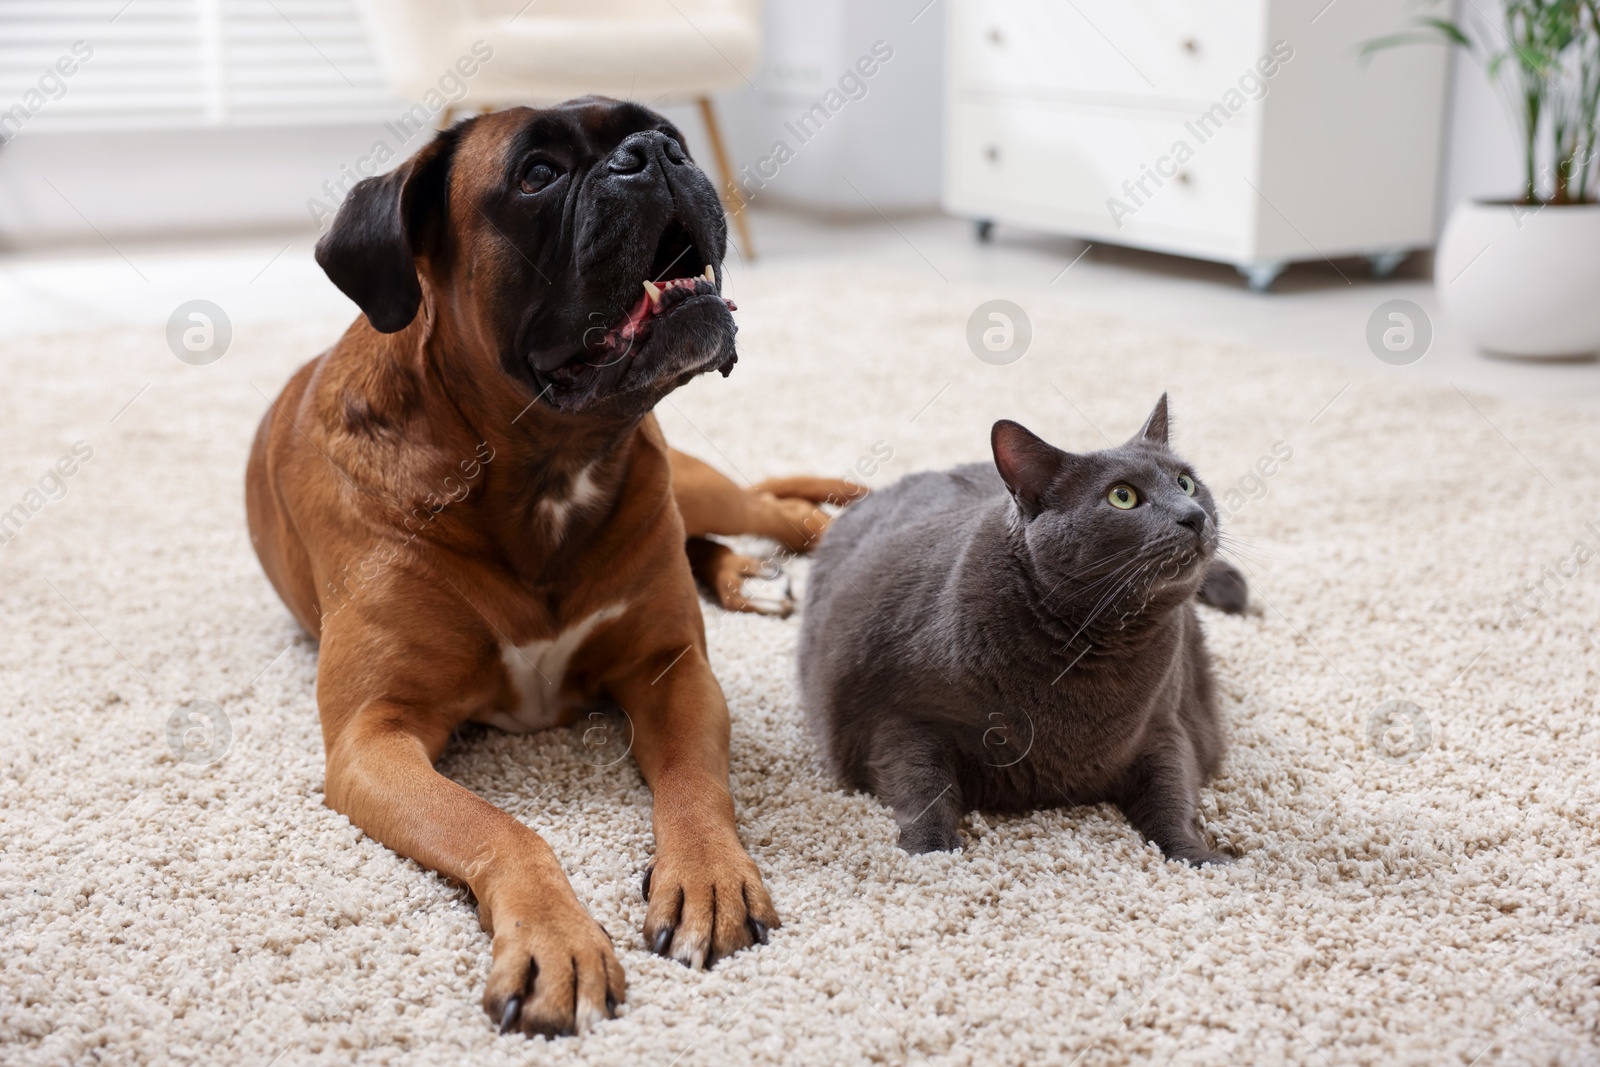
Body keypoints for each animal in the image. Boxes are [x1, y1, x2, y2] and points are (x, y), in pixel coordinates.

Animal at [241, 97, 857, 1036]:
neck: (547, 469)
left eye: (667, 134)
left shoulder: (672, 671)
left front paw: (709, 875)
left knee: (774, 509)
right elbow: (499, 827)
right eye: (537, 175)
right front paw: (556, 939)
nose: (656, 154)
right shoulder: (373, 741)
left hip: (701, 487)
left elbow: (693, 784)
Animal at [806, 396, 1241, 863]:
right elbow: (921, 785)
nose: (1193, 515)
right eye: (1122, 496)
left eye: (1185, 483)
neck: (1091, 648)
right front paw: (931, 851)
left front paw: (1198, 856)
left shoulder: (1167, 722)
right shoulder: (898, 715)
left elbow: (1172, 793)